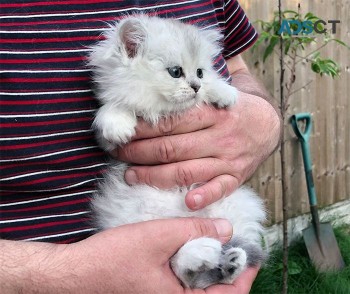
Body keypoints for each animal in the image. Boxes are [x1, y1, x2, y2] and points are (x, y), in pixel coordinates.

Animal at [89, 14, 266, 288]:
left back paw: (230, 263)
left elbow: (216, 86)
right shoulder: (110, 146)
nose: (195, 86)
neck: (162, 111)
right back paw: (202, 253)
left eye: (200, 72)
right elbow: (114, 107)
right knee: (181, 269)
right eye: (176, 72)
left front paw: (223, 92)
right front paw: (117, 122)